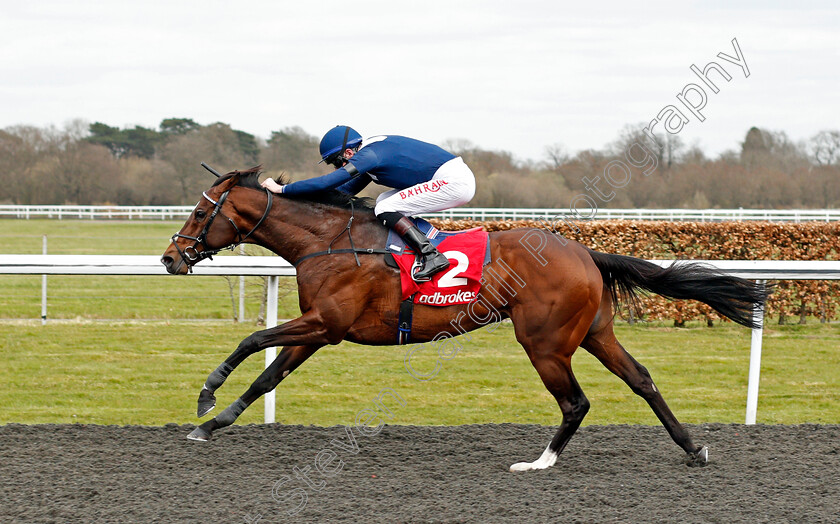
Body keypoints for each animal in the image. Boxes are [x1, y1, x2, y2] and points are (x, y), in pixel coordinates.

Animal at [161, 168, 772, 470]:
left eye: (198, 212)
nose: (169, 258)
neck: (329, 241)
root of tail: (584, 251)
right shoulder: (317, 327)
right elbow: (268, 374)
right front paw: (212, 424)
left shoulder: (326, 324)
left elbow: (252, 338)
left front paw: (206, 396)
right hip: (595, 333)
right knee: (642, 380)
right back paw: (692, 449)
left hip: (545, 343)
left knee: (576, 402)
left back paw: (539, 463)